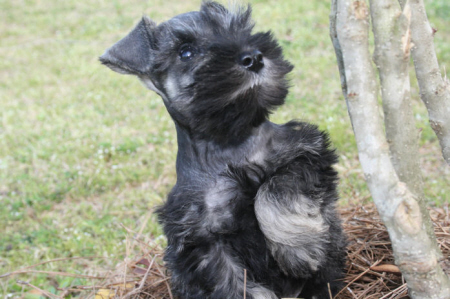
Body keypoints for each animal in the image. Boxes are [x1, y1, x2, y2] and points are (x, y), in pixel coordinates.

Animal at [99, 1, 344, 298]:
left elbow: (275, 187)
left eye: (240, 28)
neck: (231, 142)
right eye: (186, 52)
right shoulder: (201, 243)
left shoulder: (308, 152)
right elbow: (233, 285)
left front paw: (299, 248)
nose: (254, 57)